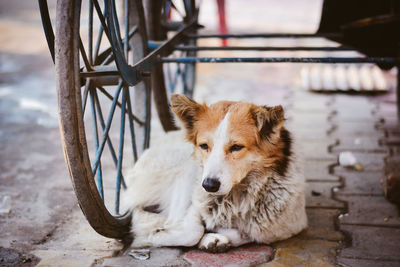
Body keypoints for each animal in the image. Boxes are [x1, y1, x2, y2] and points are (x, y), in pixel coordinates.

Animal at [123, 94, 308, 253]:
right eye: (204, 146)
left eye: (236, 147)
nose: (209, 185)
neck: (237, 196)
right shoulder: (196, 197)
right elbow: (192, 231)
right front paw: (155, 235)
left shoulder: (282, 228)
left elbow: (245, 233)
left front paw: (213, 235)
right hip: (185, 171)